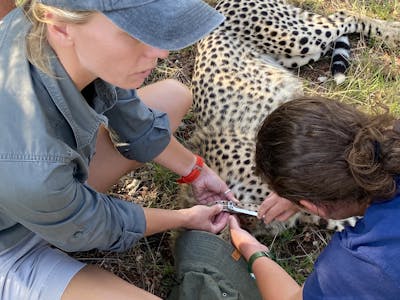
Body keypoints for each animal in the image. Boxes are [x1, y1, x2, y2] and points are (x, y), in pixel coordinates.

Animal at [179, 0, 400, 236]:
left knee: (343, 16)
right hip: (298, 54)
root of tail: (218, 4)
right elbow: (341, 220)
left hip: (296, 40)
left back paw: (392, 32)